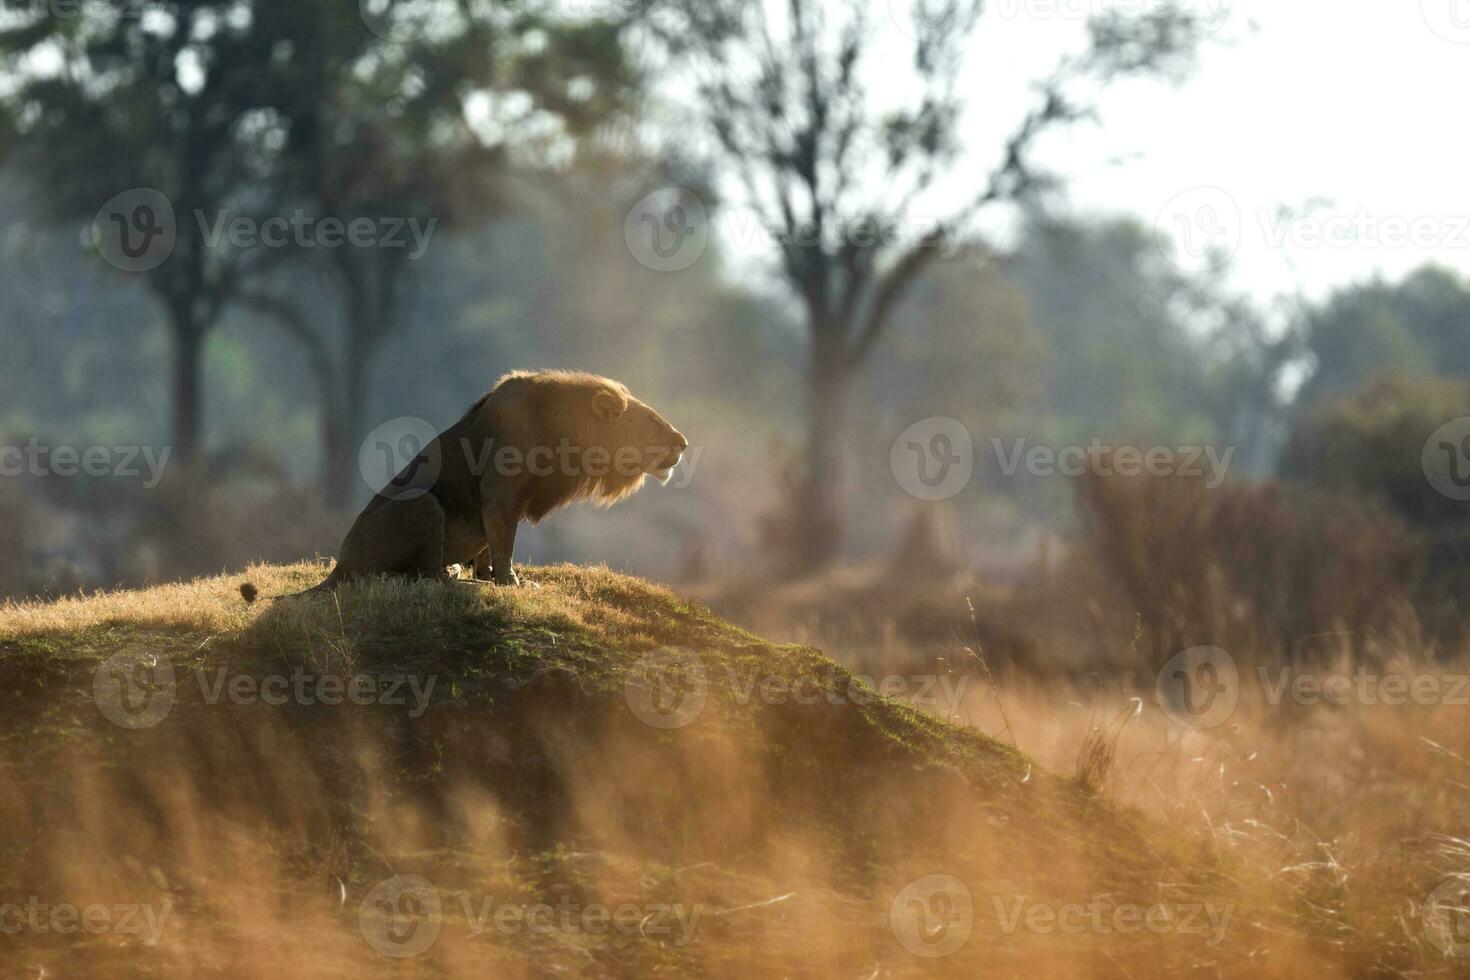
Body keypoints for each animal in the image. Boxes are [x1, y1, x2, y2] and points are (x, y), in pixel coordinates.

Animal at [286, 370, 687, 593]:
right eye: (652, 421)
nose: (683, 443)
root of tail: (339, 565)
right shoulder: (501, 491)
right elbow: (504, 540)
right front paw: (511, 583)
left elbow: (488, 545)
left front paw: (489, 576)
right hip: (422, 502)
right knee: (423, 575)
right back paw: (454, 577)